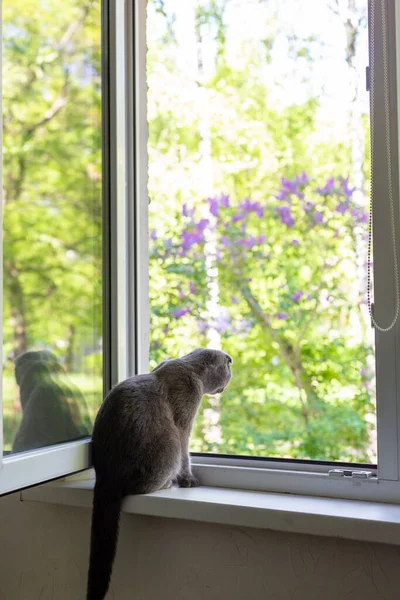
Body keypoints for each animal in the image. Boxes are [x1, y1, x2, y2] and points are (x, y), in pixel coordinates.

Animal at [87, 346, 231, 600]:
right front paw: (188, 479)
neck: (191, 369)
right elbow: (186, 454)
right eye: (228, 367)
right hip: (168, 443)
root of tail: (106, 478)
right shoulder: (184, 422)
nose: (231, 372)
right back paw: (166, 483)